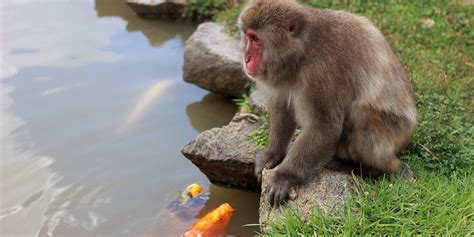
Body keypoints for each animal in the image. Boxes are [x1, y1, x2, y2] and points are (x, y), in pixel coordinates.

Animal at [239, 0, 416, 206]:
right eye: (247, 36)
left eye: (256, 39)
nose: (246, 58)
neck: (303, 50)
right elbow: (282, 111)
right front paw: (271, 153)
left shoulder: (320, 72)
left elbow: (324, 127)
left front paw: (285, 176)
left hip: (397, 131)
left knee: (360, 116)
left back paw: (373, 168)